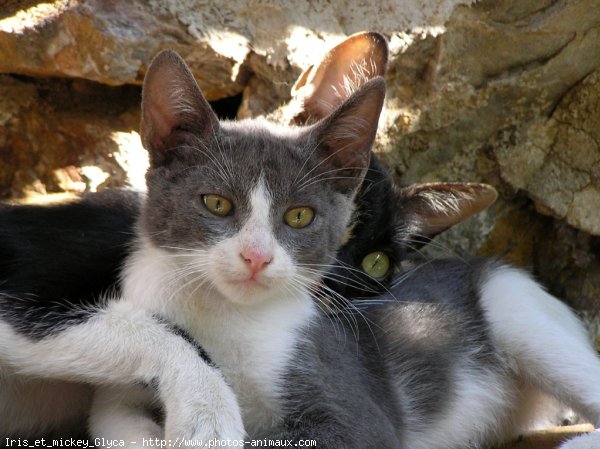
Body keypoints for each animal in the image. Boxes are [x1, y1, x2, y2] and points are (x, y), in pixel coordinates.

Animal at [89, 50, 600, 448]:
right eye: (216, 203)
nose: (257, 257)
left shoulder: (350, 403)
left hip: (517, 312)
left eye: (299, 216)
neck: (223, 317)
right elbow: (111, 417)